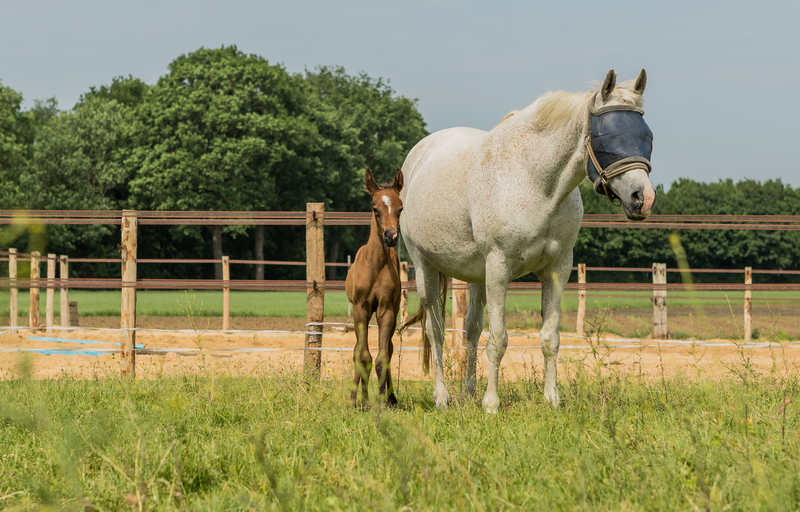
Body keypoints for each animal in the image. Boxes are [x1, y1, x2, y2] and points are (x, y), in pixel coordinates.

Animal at [345, 169, 405, 406]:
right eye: (374, 208)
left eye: (400, 208)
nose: (391, 236)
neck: (374, 265)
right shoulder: (360, 308)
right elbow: (362, 356)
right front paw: (359, 400)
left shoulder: (386, 309)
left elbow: (382, 357)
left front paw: (384, 400)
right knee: (357, 350)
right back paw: (357, 397)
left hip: (394, 310)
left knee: (388, 348)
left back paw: (390, 397)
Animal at [399, 69, 655, 412]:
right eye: (606, 137)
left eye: (647, 136)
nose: (643, 198)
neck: (533, 181)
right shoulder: (499, 268)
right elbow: (499, 340)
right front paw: (491, 404)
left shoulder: (557, 269)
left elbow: (550, 338)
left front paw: (551, 399)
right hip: (424, 267)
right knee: (436, 331)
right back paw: (442, 398)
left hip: (475, 276)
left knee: (471, 330)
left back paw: (469, 391)